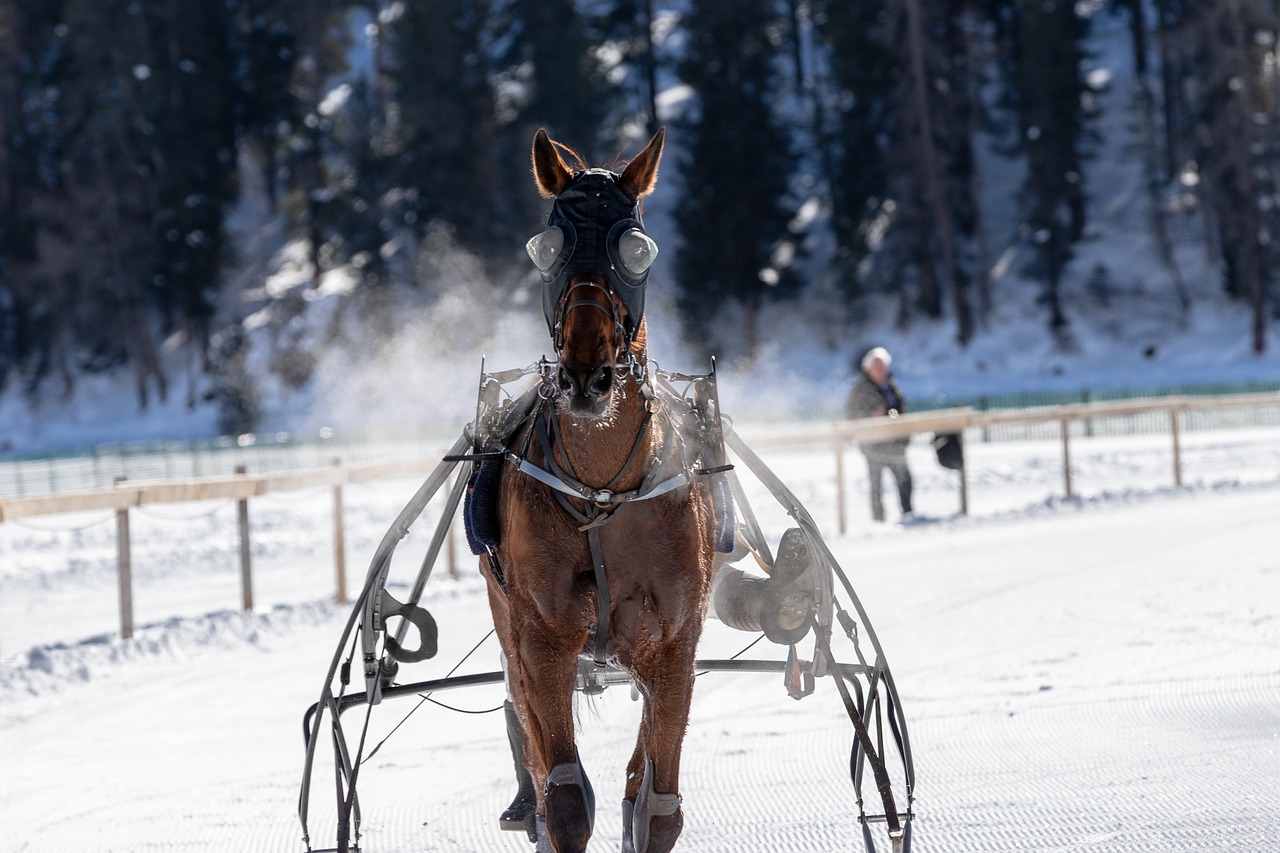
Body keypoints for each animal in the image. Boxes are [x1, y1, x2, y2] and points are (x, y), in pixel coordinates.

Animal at [481, 128, 721, 850]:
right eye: (546, 247)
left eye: (635, 249)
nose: (587, 373)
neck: (601, 494)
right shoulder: (543, 642)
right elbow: (562, 795)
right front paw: (549, 808)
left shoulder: (674, 645)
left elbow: (658, 804)